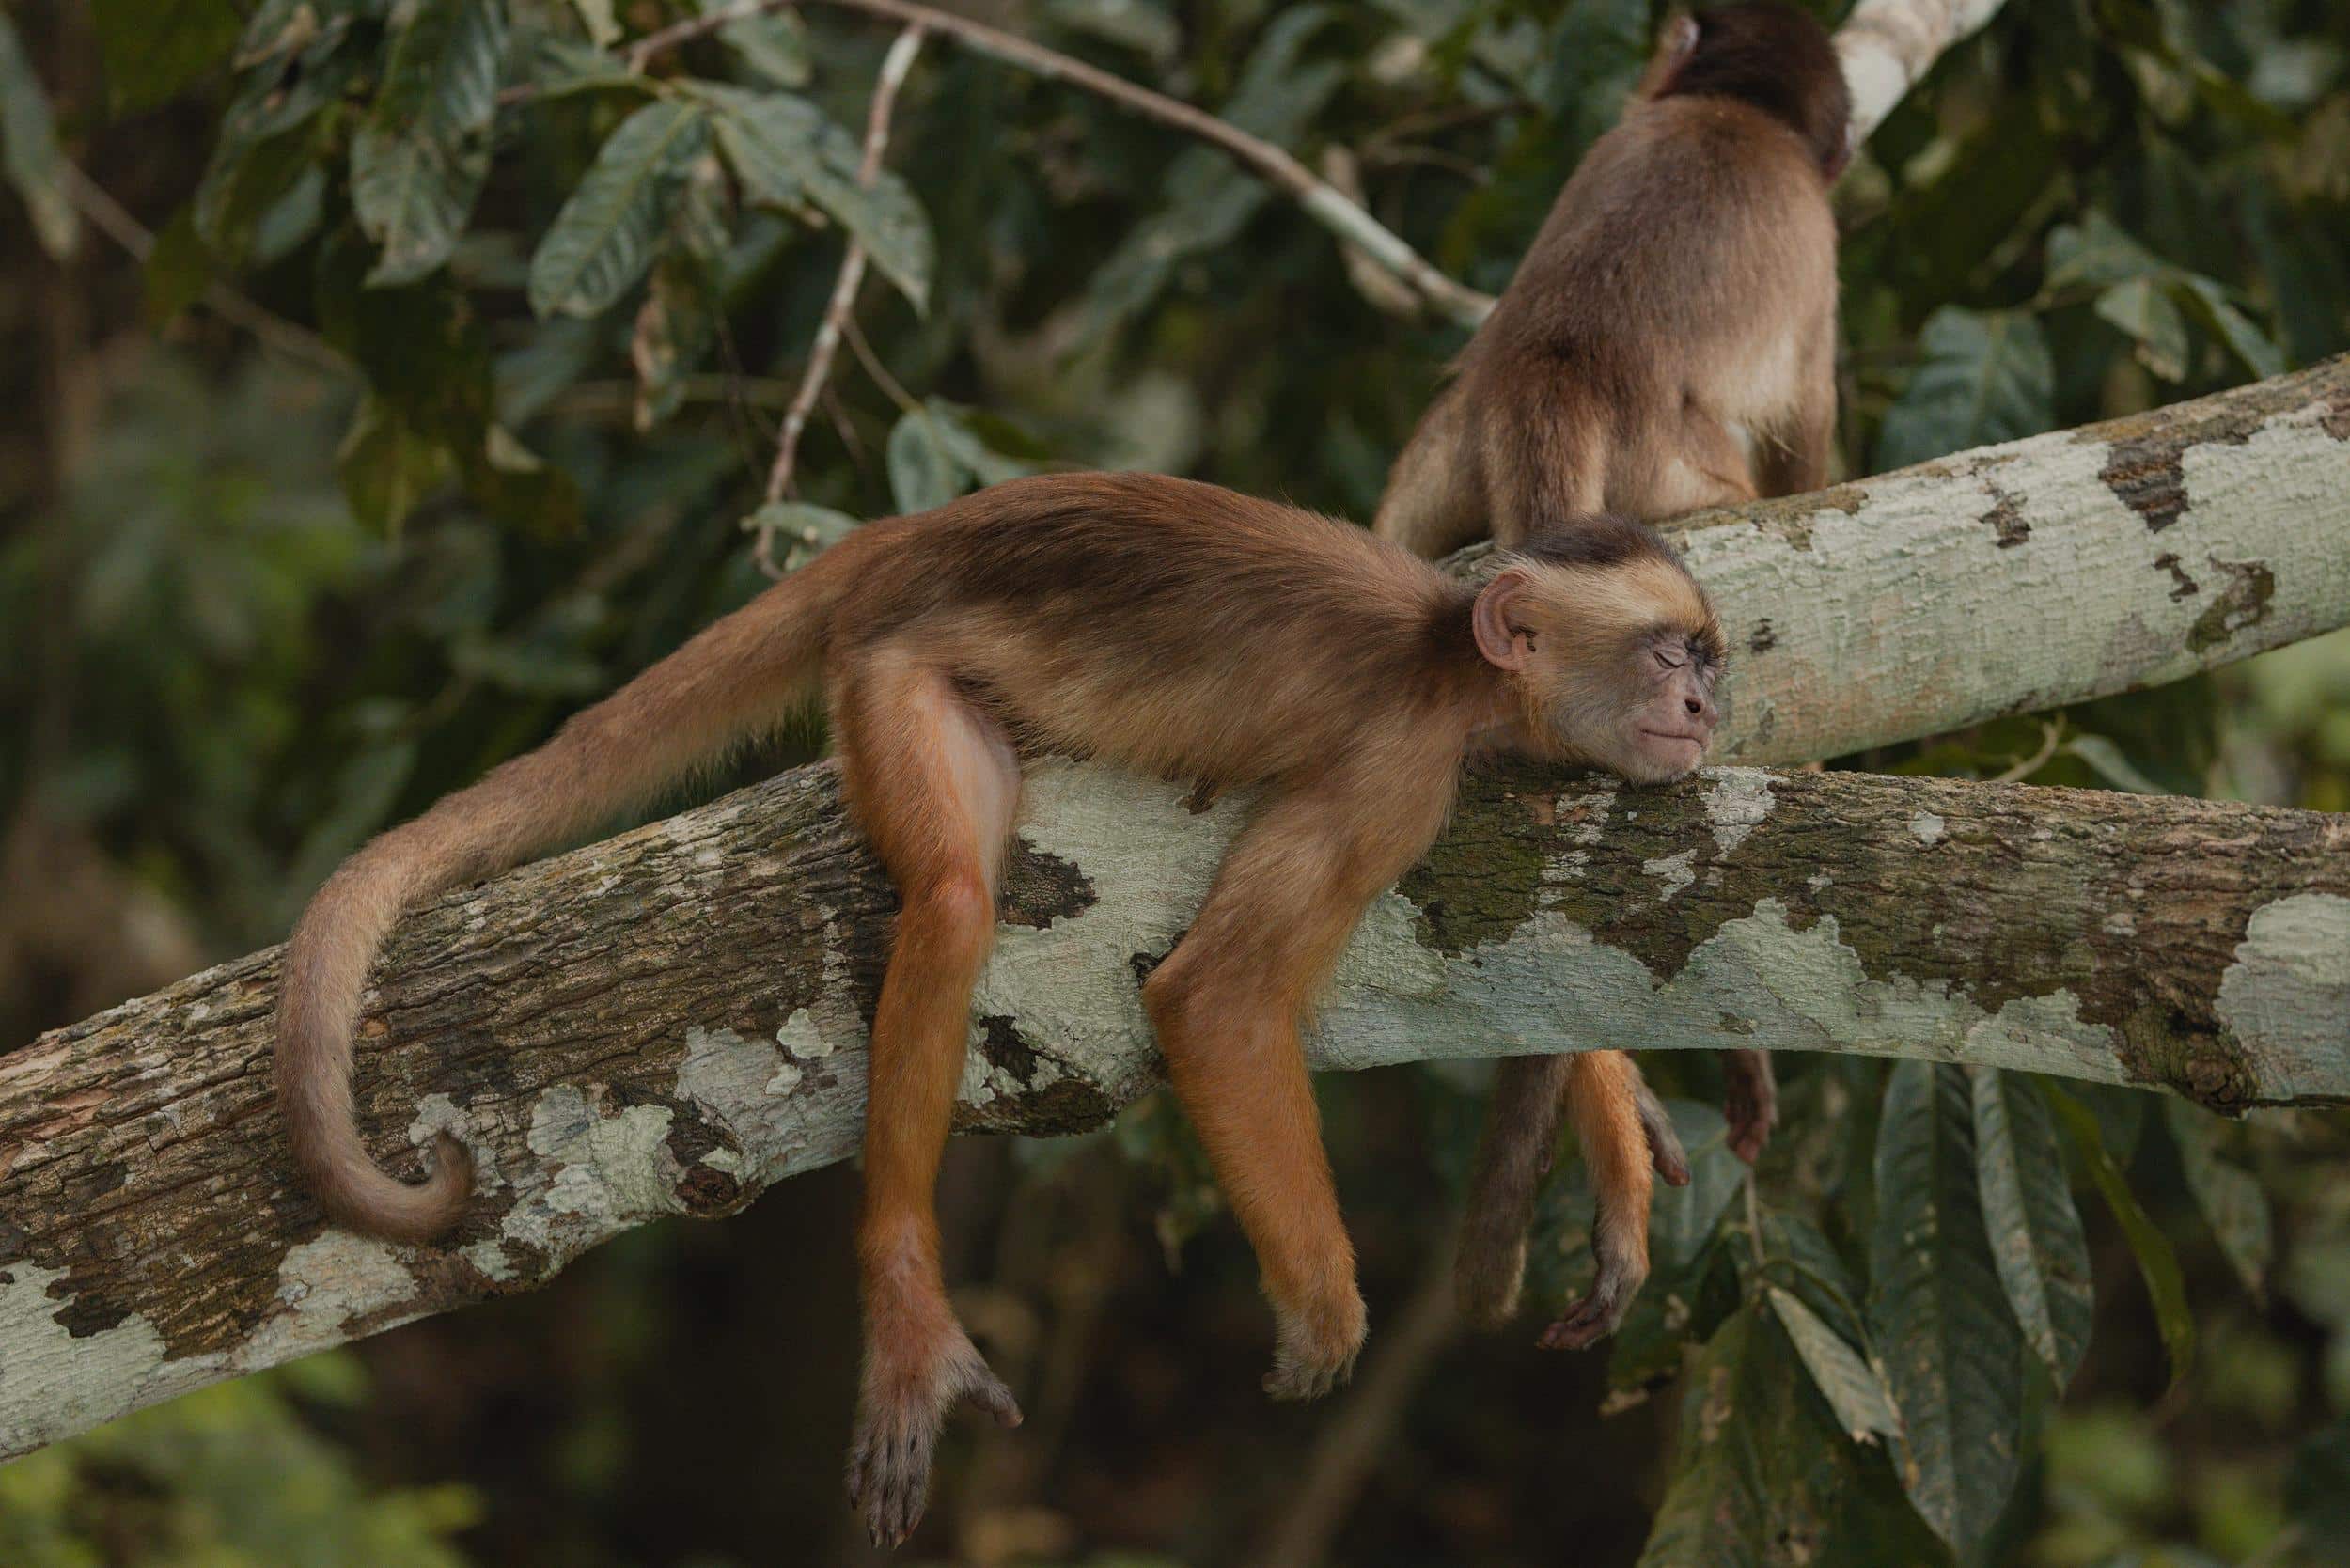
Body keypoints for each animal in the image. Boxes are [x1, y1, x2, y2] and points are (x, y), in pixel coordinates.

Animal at [274, 472, 1725, 1546]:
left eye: (1706, 657)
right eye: (1668, 654)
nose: (1705, 702)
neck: (1456, 664)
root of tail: (922, 530)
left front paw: (1613, 1142)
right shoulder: (1397, 776)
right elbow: (1211, 1002)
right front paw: (1319, 1303)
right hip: (891, 669)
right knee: (958, 899)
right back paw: (906, 1297)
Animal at [1372, 1, 1850, 1329]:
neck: (1733, 109)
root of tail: (1558, 362)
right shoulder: (1818, 251)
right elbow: (1811, 435)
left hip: (1447, 452)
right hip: (1674, 479)